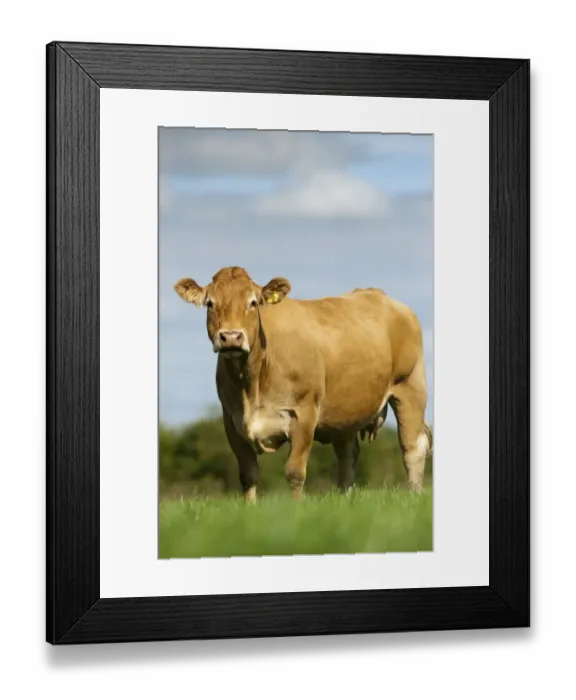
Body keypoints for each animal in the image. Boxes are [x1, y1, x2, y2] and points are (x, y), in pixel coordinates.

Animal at [174, 266, 432, 502]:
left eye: (253, 303)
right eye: (210, 304)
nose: (231, 337)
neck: (251, 384)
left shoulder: (303, 414)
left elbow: (295, 472)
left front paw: (295, 509)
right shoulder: (231, 420)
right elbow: (248, 475)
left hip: (410, 387)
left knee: (412, 447)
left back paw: (414, 495)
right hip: (348, 410)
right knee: (348, 454)